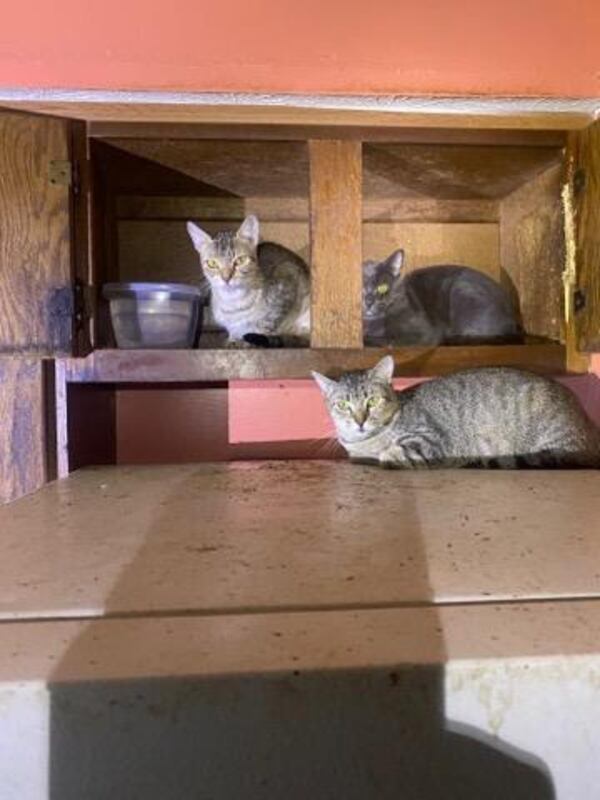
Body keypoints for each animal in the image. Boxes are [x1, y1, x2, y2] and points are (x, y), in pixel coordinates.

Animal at [186, 216, 310, 346]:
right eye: (212, 263)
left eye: (241, 260)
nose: (226, 277)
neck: (233, 304)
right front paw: (233, 340)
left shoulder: (287, 280)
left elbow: (268, 322)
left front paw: (250, 339)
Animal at [312, 356, 600, 468]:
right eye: (342, 405)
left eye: (372, 401)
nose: (359, 421)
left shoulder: (431, 439)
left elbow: (399, 450)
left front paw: (388, 453)